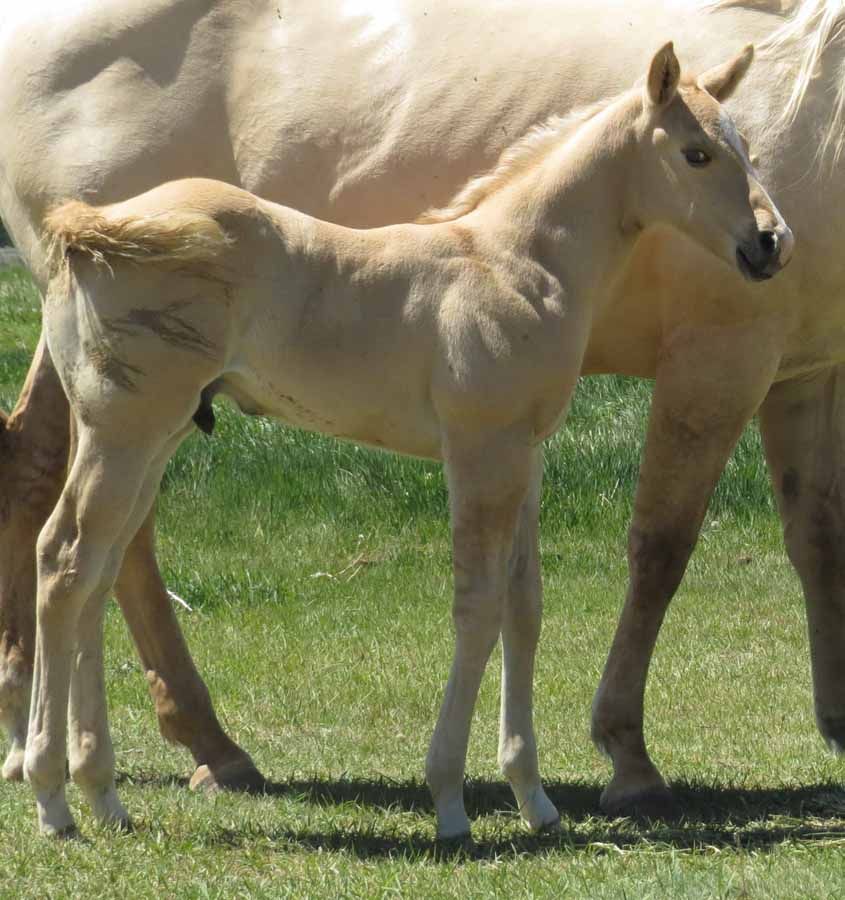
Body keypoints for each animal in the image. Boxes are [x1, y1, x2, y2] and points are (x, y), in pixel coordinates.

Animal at [0, 0, 842, 820]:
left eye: (750, 148)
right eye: (696, 154)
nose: (772, 244)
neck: (510, 260)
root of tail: (88, 226)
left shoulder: (523, 453)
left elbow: (523, 605)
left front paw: (533, 797)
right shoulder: (480, 450)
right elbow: (475, 605)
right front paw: (450, 797)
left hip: (145, 434)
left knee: (98, 568)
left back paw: (102, 795)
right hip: (128, 430)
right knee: (68, 560)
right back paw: (54, 795)